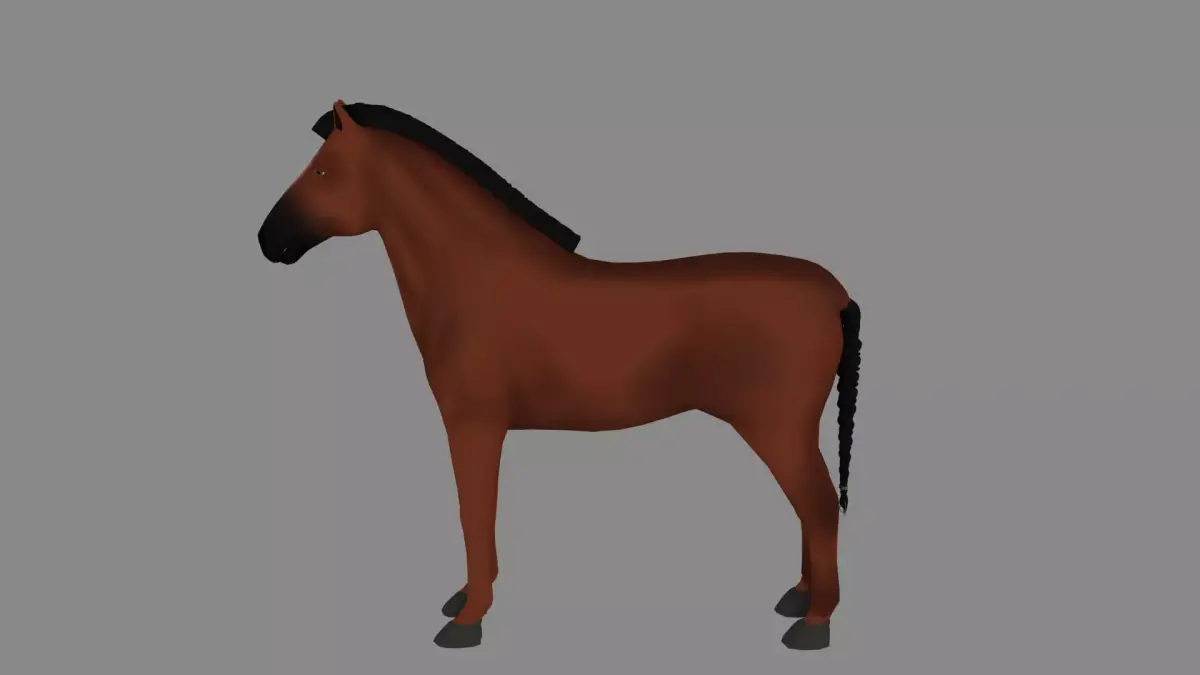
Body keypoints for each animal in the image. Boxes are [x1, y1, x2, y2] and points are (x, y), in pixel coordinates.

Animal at [258, 100, 862, 651]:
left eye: (322, 170)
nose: (267, 241)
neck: (476, 278)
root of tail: (834, 294)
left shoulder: (474, 426)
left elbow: (475, 515)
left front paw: (468, 620)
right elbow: (478, 519)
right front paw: (467, 599)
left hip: (775, 429)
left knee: (818, 507)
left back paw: (814, 624)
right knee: (809, 509)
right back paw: (800, 598)